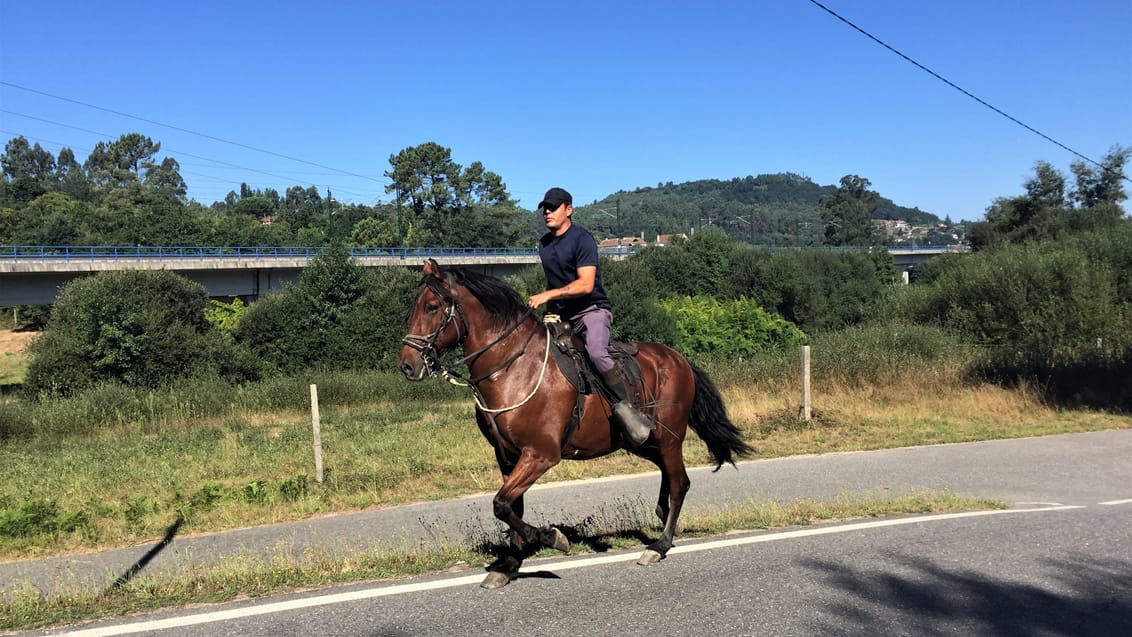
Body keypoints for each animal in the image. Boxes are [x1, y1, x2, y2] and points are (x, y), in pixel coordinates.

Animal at [398, 257, 751, 588]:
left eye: (432, 307)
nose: (407, 365)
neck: (513, 368)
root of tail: (679, 360)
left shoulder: (540, 455)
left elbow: (501, 505)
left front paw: (552, 537)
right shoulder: (508, 456)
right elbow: (512, 508)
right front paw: (509, 565)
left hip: (669, 438)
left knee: (680, 483)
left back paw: (659, 545)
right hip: (645, 442)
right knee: (669, 476)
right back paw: (662, 518)